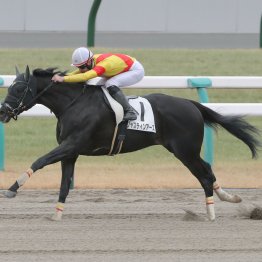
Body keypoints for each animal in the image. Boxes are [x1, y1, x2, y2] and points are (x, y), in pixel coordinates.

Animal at [0, 66, 260, 221]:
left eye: (20, 88)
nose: (3, 111)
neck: (73, 104)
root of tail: (191, 104)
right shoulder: (70, 151)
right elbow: (64, 184)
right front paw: (56, 215)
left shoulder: (71, 145)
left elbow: (40, 160)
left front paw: (12, 188)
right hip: (186, 151)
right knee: (207, 170)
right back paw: (228, 198)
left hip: (185, 151)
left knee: (204, 175)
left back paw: (211, 212)